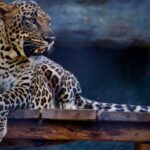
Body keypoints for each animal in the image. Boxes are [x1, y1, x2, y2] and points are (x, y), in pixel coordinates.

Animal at [0, 0, 149, 143]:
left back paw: (64, 106)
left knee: (72, 99)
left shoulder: (25, 89)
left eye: (49, 22)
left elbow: (3, 99)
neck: (8, 56)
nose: (51, 39)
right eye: (31, 20)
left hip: (57, 75)